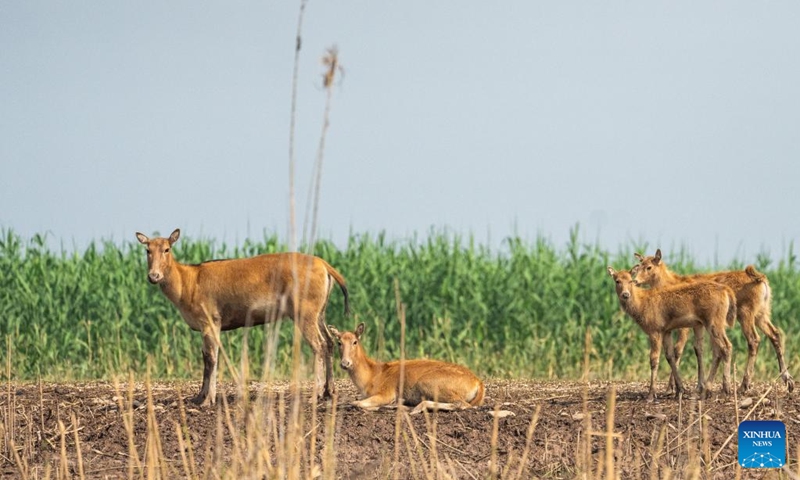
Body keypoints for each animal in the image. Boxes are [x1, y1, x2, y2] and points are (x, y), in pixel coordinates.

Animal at [136, 228, 349, 406]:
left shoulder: (211, 320)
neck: (187, 283)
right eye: (147, 250)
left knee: (318, 345)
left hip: (304, 312)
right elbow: (205, 357)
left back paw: (315, 395)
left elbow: (211, 358)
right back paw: (329, 391)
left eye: (167, 248)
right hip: (319, 312)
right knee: (329, 342)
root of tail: (325, 266)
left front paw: (208, 400)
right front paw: (198, 397)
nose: (153, 276)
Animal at [327, 323, 485, 414]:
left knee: (462, 404)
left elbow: (356, 402)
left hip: (429, 382)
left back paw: (415, 408)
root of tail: (478, 383)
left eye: (355, 341)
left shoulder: (386, 392)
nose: (345, 363)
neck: (369, 377)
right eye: (339, 342)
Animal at [607, 265, 736, 402]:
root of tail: (727, 291)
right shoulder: (666, 331)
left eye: (630, 280)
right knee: (717, 351)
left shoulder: (655, 330)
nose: (625, 294)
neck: (641, 304)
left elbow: (654, 359)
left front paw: (651, 395)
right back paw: (708, 391)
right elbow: (670, 357)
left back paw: (725, 391)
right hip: (711, 323)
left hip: (714, 321)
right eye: (617, 281)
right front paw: (681, 389)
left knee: (726, 346)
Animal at [634, 249, 794, 393]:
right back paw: (788, 380)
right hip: (762, 313)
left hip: (745, 313)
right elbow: (699, 349)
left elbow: (679, 349)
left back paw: (743, 385)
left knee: (753, 340)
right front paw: (699, 385)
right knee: (775, 334)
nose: (635, 281)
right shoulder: (697, 324)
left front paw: (671, 388)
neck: (670, 282)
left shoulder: (685, 325)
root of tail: (761, 279)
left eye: (649, 267)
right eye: (639, 265)